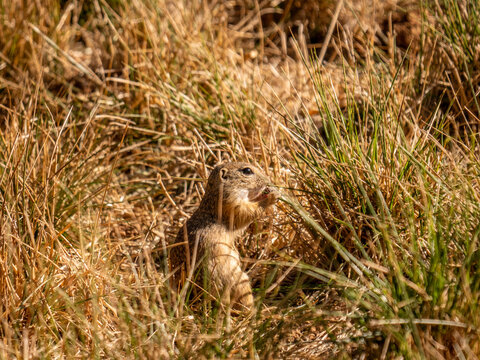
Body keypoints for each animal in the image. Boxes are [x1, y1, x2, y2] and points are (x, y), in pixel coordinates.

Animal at [171, 162, 278, 310]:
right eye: (247, 171)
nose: (268, 181)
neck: (214, 196)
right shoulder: (232, 205)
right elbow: (248, 212)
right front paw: (271, 195)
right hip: (241, 281)